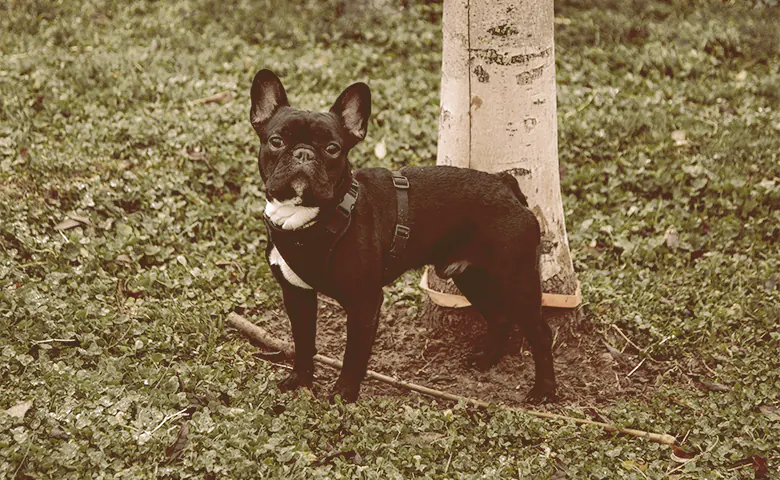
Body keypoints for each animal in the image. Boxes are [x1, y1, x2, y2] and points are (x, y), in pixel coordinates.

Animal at [248, 69, 556, 404]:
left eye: (332, 148)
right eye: (276, 141)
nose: (303, 154)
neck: (312, 217)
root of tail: (504, 184)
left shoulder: (364, 302)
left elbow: (353, 354)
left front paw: (343, 394)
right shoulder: (297, 294)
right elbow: (303, 343)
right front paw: (299, 380)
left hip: (516, 281)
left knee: (541, 334)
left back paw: (544, 391)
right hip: (472, 277)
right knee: (500, 319)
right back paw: (486, 361)